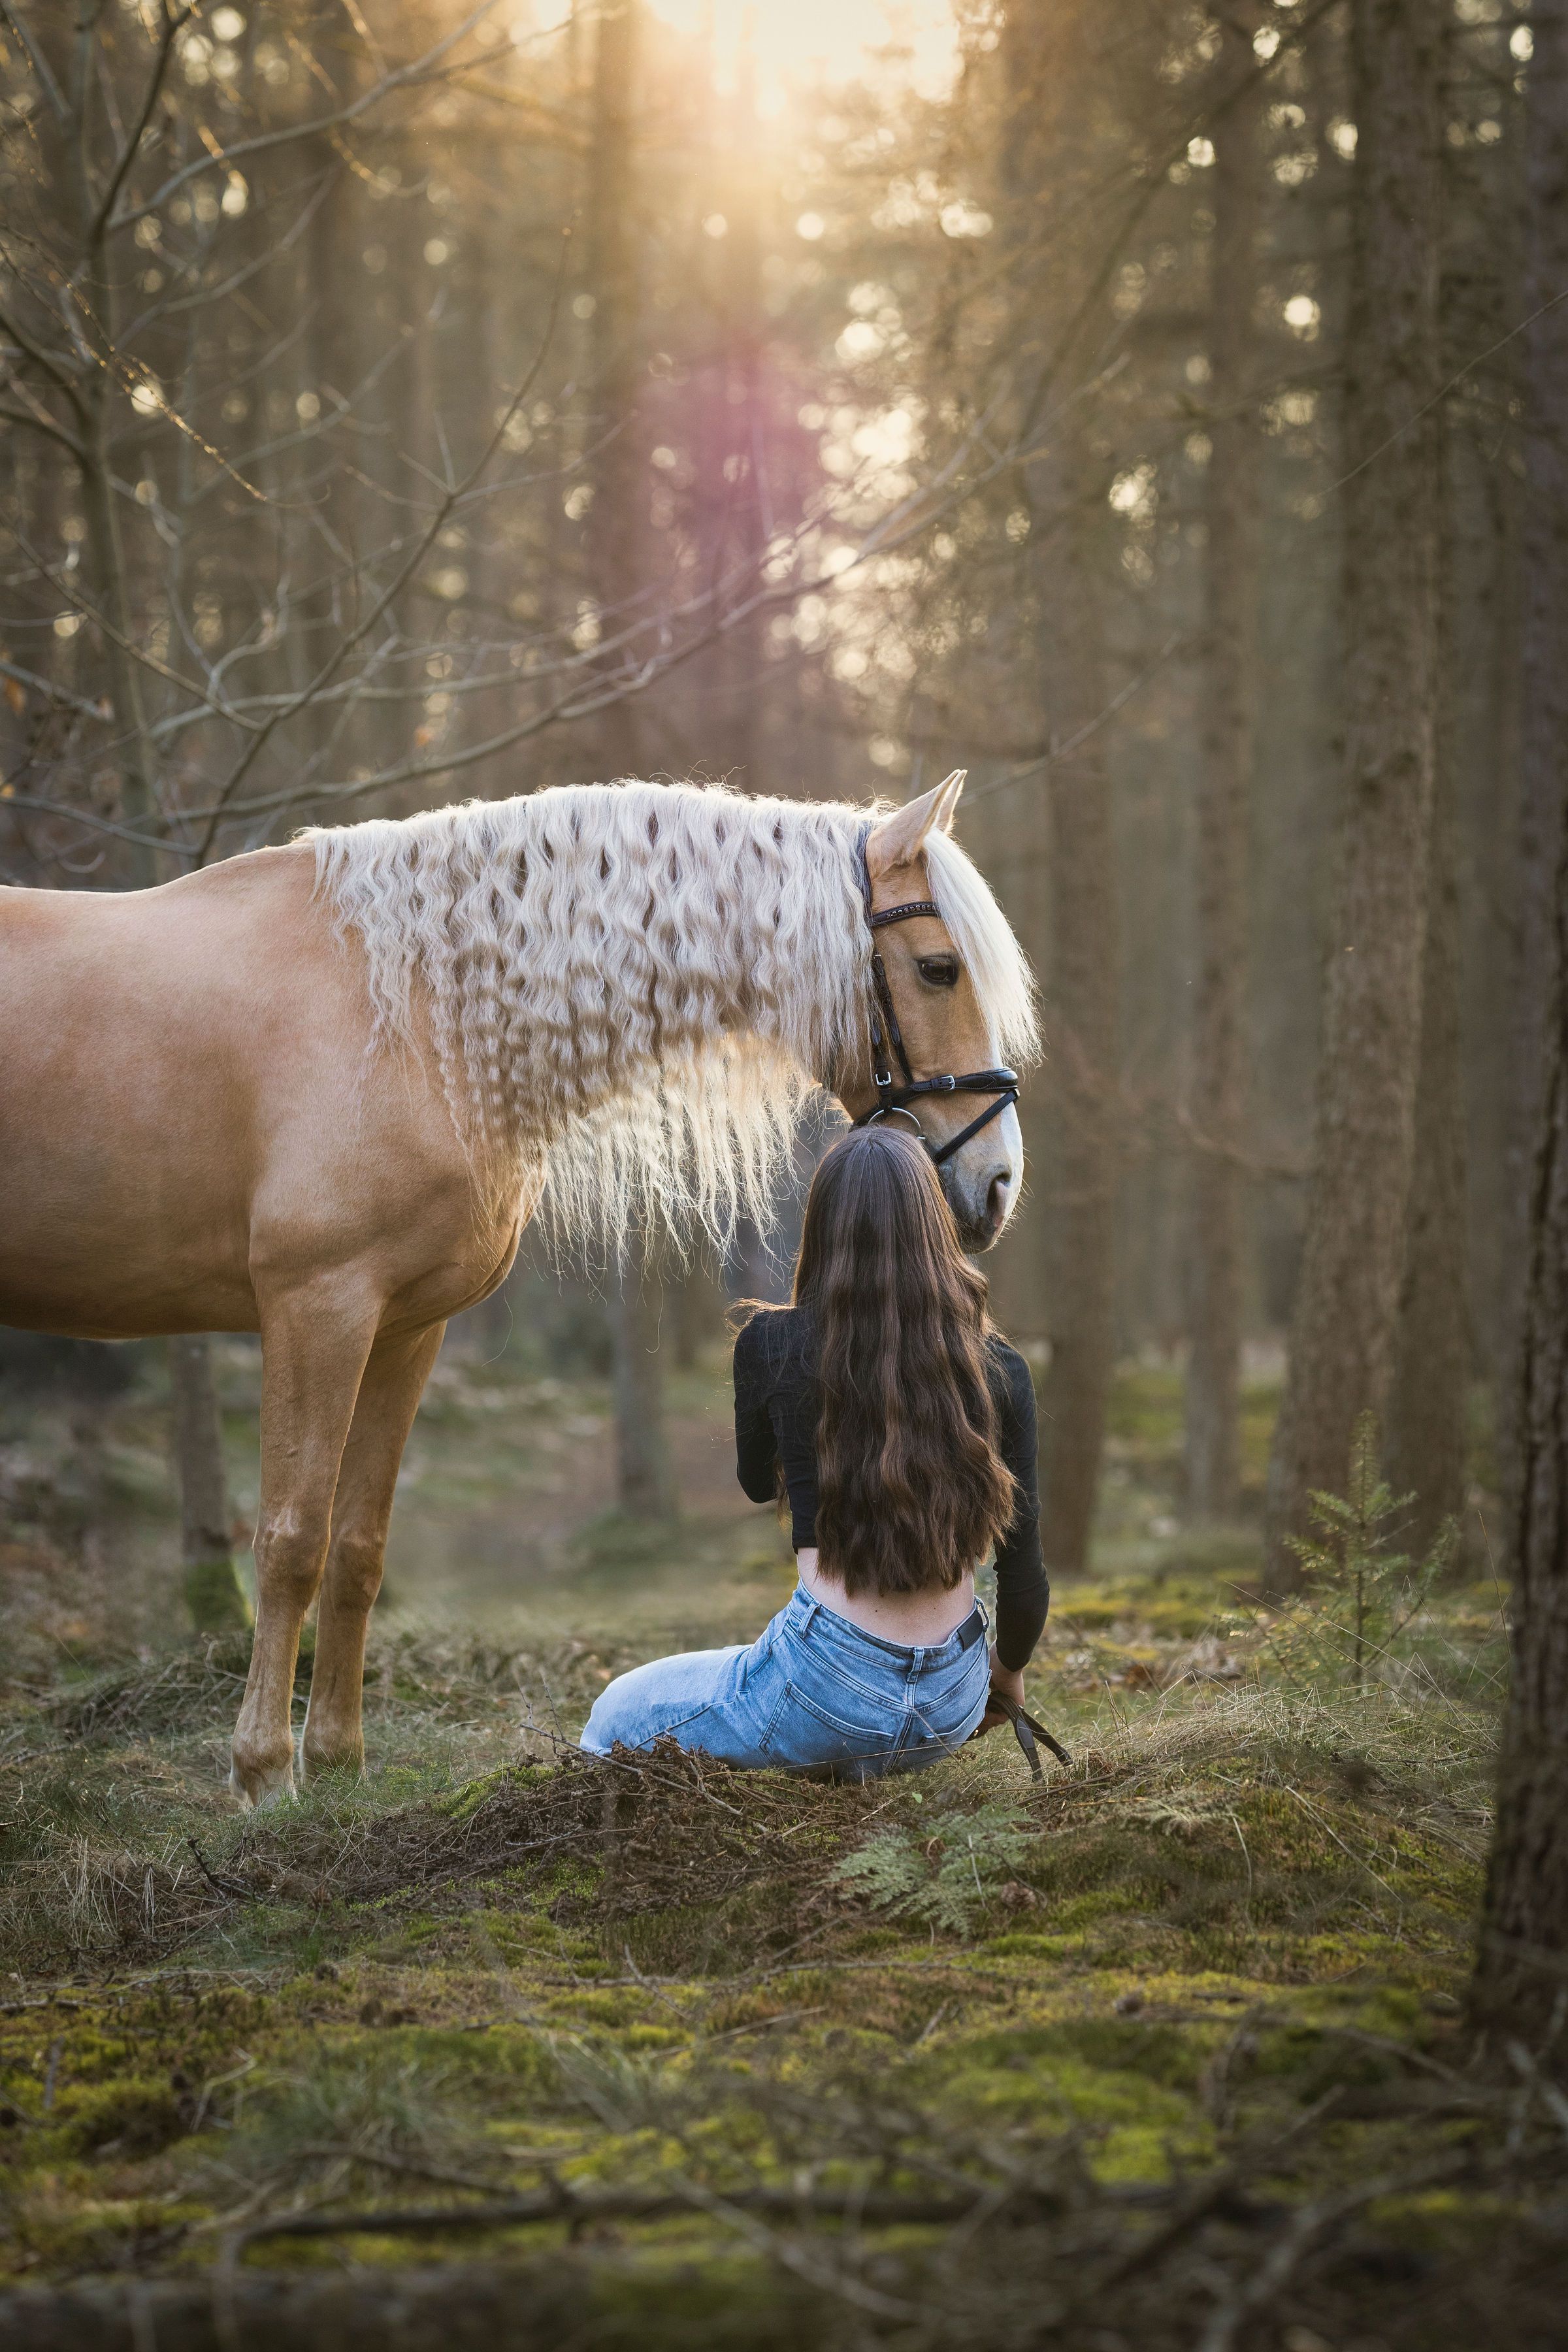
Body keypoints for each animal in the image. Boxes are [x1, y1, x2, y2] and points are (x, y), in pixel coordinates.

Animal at [0, 770, 1038, 1805]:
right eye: (938, 969)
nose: (997, 1183)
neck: (410, 1014)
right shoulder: (316, 1308)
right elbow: (291, 1542)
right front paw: (262, 1776)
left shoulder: (402, 1328)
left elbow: (359, 1548)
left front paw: (336, 1763)